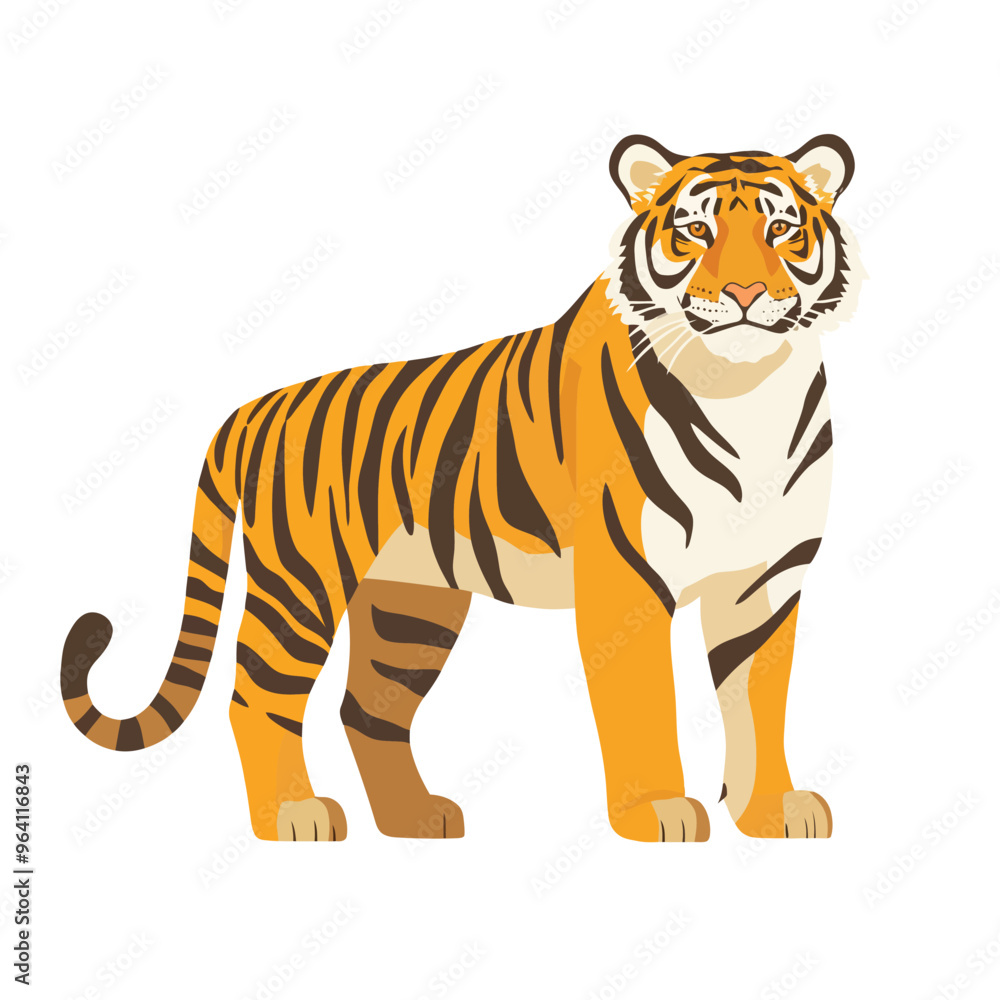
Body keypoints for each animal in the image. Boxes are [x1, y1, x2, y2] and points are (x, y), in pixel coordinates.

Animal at [62, 133, 863, 843]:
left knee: (367, 711)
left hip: (408, 606)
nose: (745, 292)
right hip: (301, 583)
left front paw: (771, 812)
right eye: (695, 232)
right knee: (256, 696)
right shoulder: (627, 583)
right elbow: (644, 705)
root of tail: (250, 410)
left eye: (781, 230)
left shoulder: (766, 581)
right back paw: (292, 816)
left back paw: (415, 820)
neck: (748, 392)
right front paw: (656, 813)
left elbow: (757, 703)